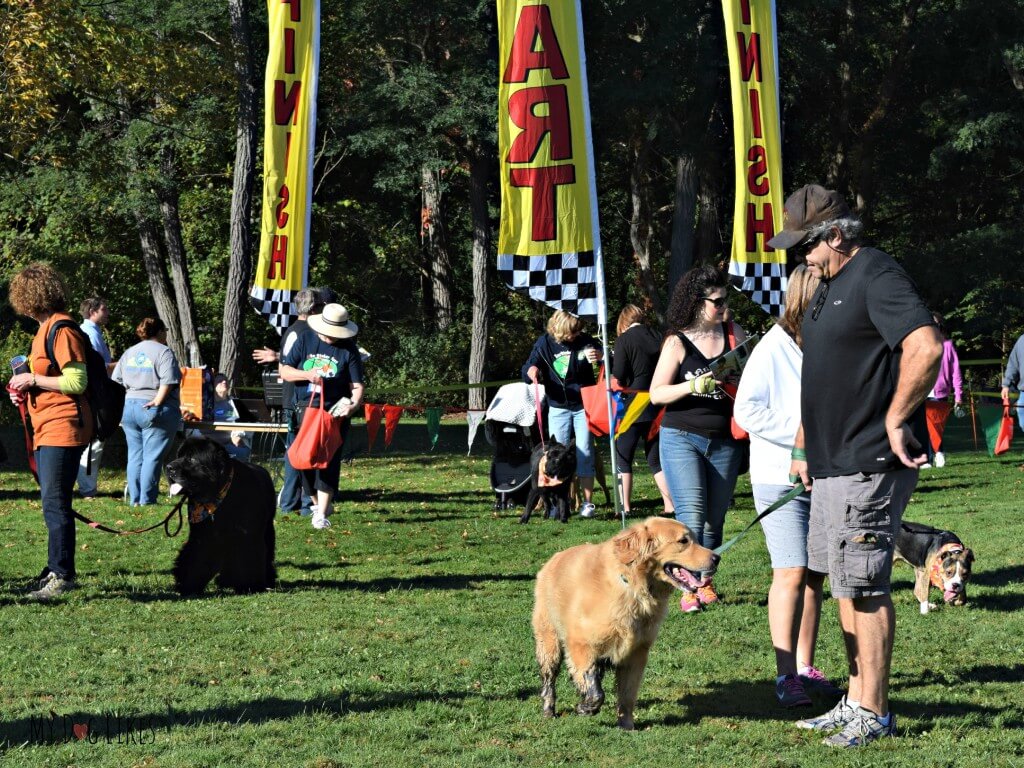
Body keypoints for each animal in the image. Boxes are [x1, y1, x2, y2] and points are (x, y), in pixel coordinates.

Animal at [167, 438, 280, 593]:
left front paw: (250, 586)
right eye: (179, 455)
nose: (168, 467)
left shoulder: (248, 535)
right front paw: (188, 585)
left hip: (267, 529)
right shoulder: (203, 536)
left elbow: (250, 557)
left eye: (192, 458)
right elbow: (195, 557)